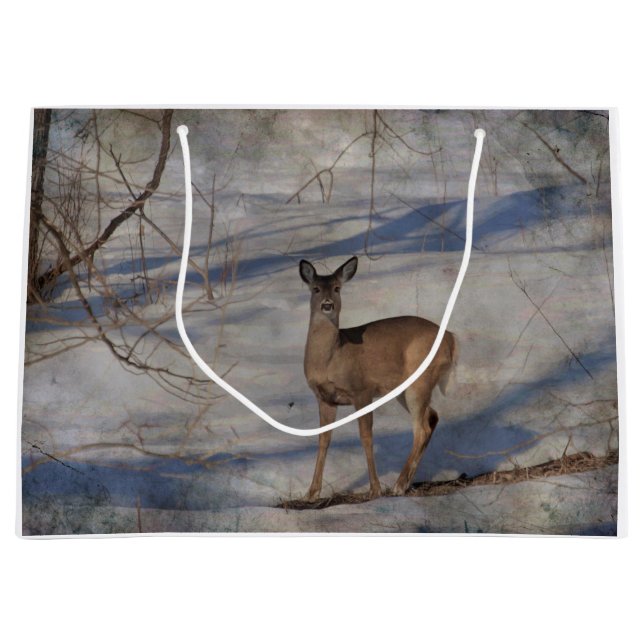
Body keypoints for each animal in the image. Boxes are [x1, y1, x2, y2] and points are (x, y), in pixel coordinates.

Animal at [299, 255, 457, 501]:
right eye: (315, 288)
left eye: (337, 288)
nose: (327, 304)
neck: (331, 358)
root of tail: (451, 338)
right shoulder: (324, 398)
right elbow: (323, 440)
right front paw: (311, 492)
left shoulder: (361, 390)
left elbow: (366, 436)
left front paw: (374, 489)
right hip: (404, 389)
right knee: (432, 417)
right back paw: (405, 482)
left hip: (419, 381)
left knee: (421, 428)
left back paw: (398, 486)